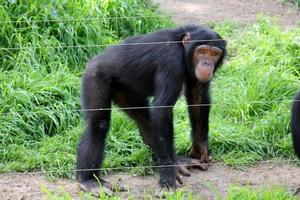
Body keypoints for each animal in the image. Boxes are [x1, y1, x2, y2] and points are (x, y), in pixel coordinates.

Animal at [76, 25, 226, 195]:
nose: (207, 63)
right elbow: (162, 109)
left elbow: (197, 96)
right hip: (95, 77)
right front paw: (167, 180)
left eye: (214, 54)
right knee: (98, 124)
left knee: (145, 121)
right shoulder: (170, 61)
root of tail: (93, 60)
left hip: (126, 92)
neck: (182, 48)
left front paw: (200, 148)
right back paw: (89, 181)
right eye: (202, 51)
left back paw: (178, 162)